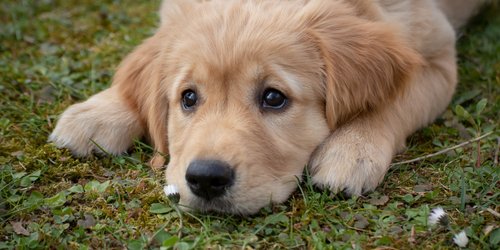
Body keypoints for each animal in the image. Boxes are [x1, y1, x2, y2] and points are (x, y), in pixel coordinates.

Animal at [48, 0, 482, 215]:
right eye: (188, 97)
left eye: (274, 98)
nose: (206, 179)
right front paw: (100, 111)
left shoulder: (438, 57)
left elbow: (393, 101)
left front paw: (352, 149)